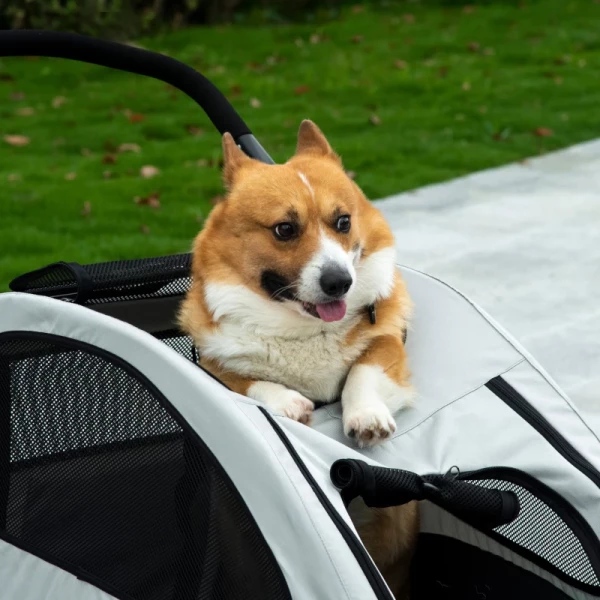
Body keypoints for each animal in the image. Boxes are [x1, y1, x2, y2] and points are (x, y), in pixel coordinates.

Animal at [179, 119, 418, 596]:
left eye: (343, 221)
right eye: (285, 229)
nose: (339, 282)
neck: (305, 329)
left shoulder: (389, 341)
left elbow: (364, 368)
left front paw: (366, 418)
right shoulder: (211, 361)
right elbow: (243, 380)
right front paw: (288, 403)